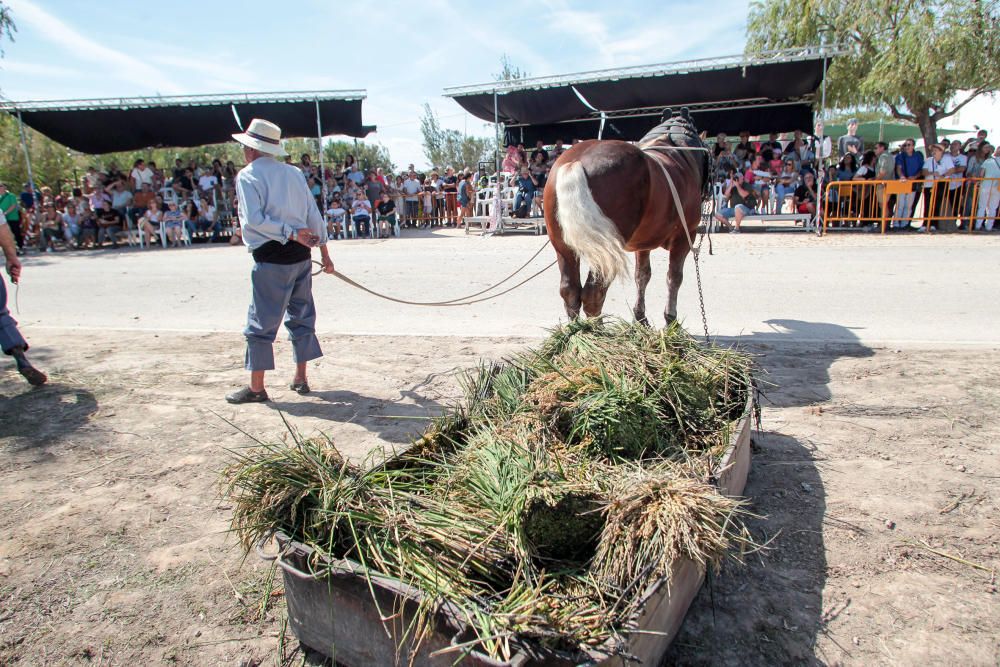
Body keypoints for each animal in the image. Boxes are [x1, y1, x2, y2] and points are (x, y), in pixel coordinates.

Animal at [544, 111, 708, 324]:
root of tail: (576, 161)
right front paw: (670, 319)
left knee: (569, 290)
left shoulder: (643, 244)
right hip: (604, 250)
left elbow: (642, 275)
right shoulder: (684, 237)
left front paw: (640, 317)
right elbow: (674, 276)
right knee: (593, 292)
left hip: (563, 246)